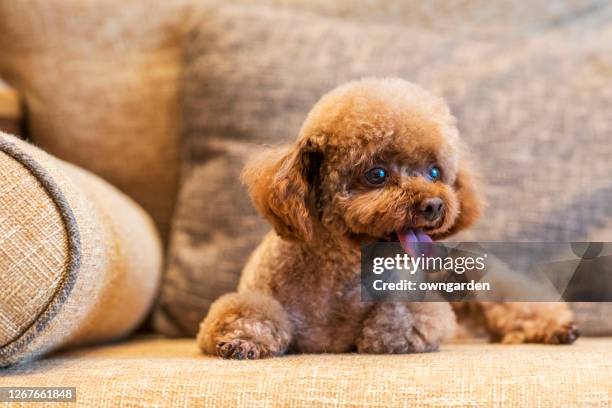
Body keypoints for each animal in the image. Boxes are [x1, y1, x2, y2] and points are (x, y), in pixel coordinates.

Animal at [196, 78, 580, 358]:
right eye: (377, 174)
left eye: (435, 171)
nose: (434, 206)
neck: (339, 273)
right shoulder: (254, 296)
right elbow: (246, 313)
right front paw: (244, 339)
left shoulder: (423, 303)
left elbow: (400, 320)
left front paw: (381, 335)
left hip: (474, 275)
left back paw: (558, 328)